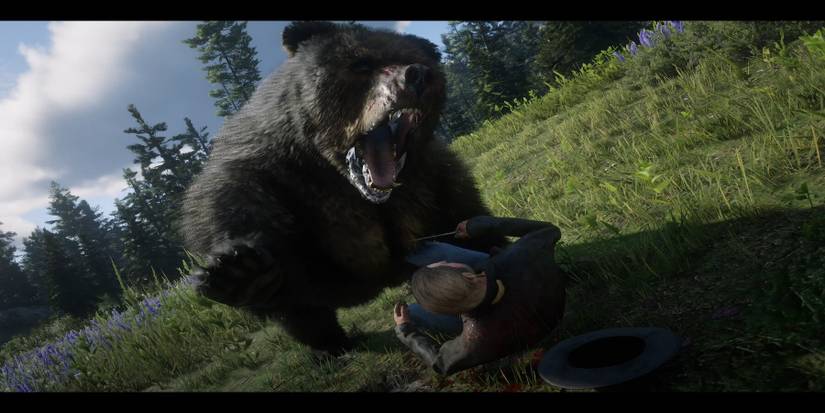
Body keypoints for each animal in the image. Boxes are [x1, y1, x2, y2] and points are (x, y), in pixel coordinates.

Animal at [182, 21, 504, 355]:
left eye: (418, 60)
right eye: (360, 63)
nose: (417, 74)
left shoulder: (433, 183)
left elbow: (465, 218)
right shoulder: (278, 175)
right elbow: (233, 204)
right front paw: (240, 271)